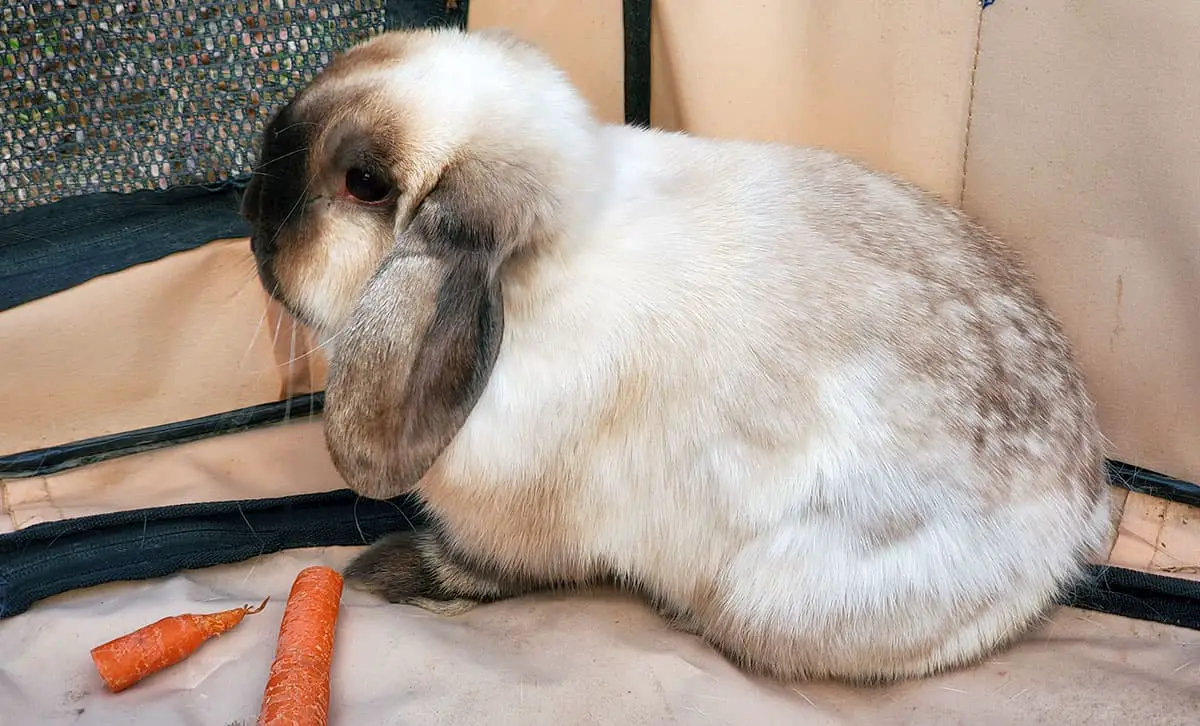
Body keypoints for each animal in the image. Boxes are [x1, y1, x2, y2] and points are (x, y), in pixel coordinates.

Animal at [239, 26, 1115, 684]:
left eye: (364, 182)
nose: (249, 204)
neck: (536, 282)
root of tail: (1071, 525)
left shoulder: (518, 527)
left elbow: (485, 570)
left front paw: (383, 574)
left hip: (769, 599)